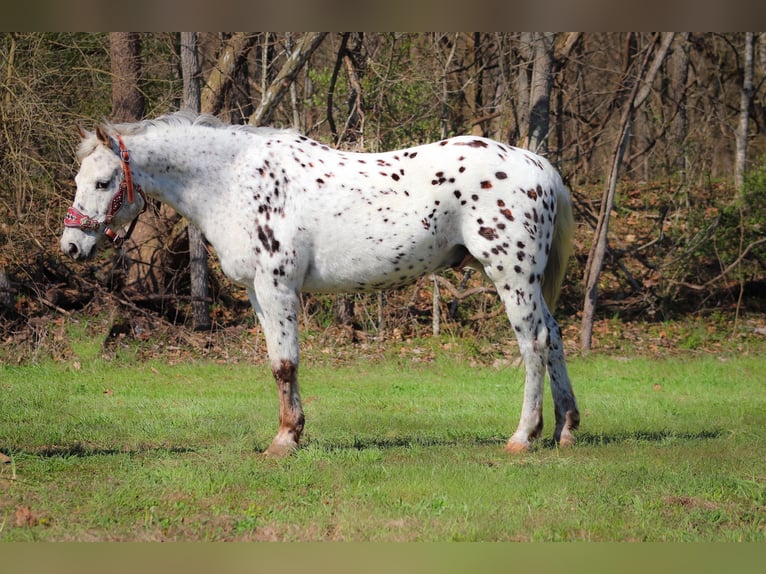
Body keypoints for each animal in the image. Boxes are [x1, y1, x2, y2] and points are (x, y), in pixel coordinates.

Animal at [61, 112, 584, 460]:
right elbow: (277, 363)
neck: (233, 180)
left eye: (104, 182)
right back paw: (567, 429)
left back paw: (523, 436)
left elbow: (286, 364)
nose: (70, 246)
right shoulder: (257, 293)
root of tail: (538, 166)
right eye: (81, 178)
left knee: (535, 343)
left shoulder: (277, 288)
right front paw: (291, 432)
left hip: (511, 275)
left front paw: (284, 441)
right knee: (556, 338)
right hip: (525, 282)